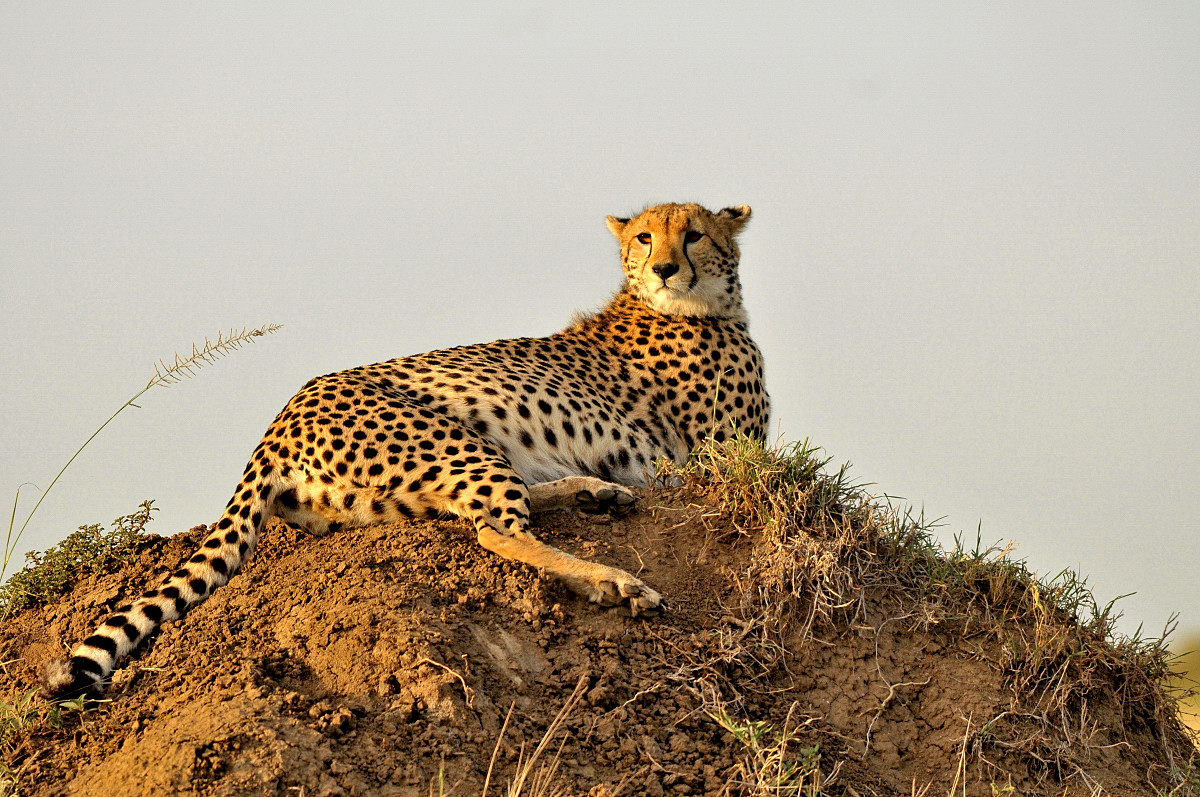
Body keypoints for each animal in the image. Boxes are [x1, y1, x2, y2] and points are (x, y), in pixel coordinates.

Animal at [44, 204, 768, 696]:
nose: (666, 267)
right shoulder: (719, 458)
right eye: (645, 236)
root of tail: (277, 420)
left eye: (693, 233)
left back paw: (596, 491)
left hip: (400, 485)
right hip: (448, 441)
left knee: (479, 513)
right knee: (496, 530)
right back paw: (615, 579)